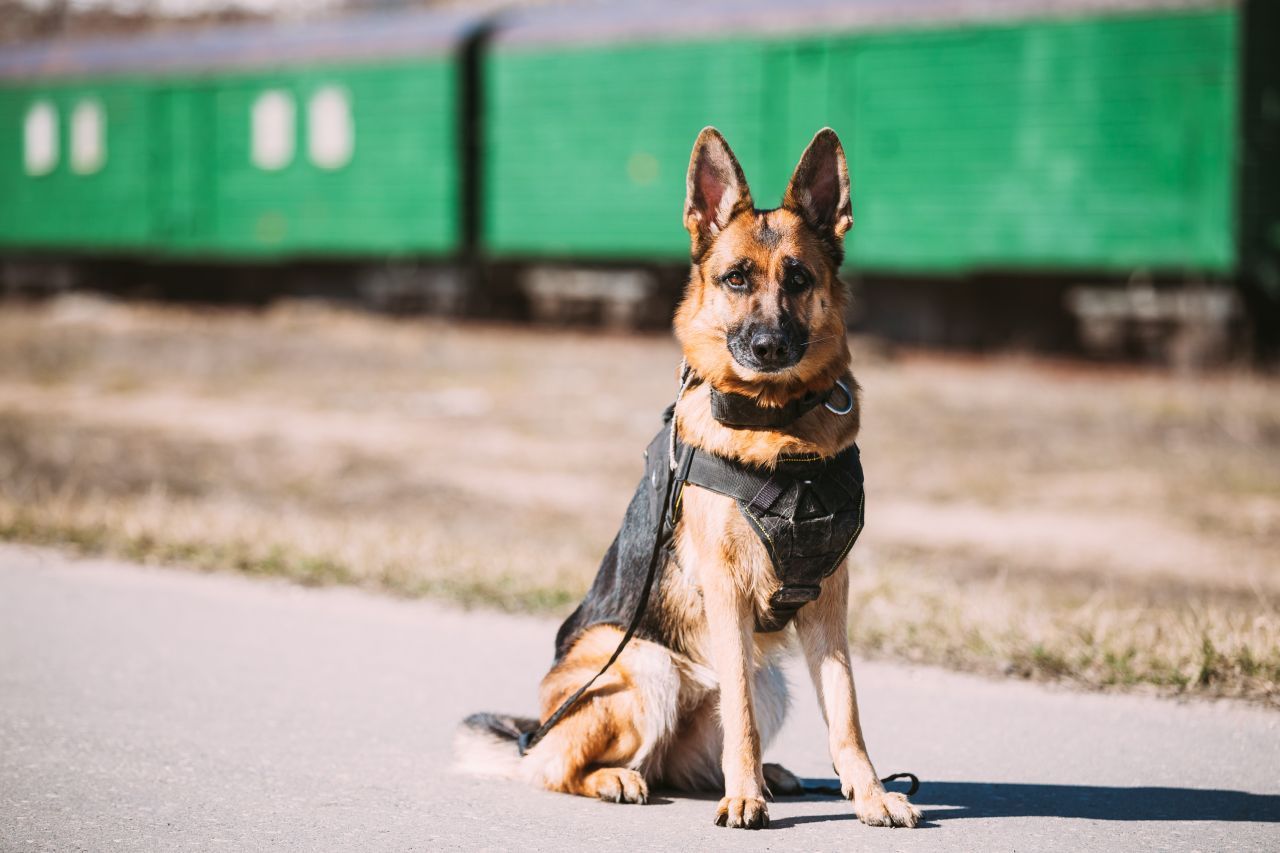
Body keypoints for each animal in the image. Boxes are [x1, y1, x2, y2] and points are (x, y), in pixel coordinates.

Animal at [455, 129, 916, 824]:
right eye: (736, 279)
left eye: (799, 279)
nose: (768, 347)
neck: (778, 427)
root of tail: (533, 729)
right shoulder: (726, 589)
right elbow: (742, 718)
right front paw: (744, 799)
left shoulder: (829, 600)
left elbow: (846, 712)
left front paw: (868, 793)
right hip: (646, 667)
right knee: (559, 766)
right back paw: (622, 778)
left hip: (767, 679)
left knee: (683, 760)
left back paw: (764, 776)